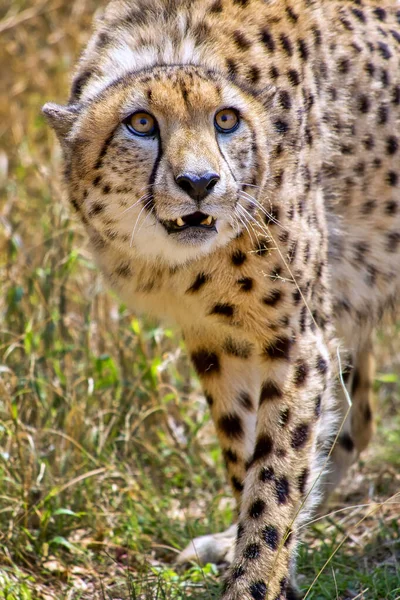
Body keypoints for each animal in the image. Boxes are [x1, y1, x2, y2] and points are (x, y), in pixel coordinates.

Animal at [43, 1, 400, 596]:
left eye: (225, 120)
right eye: (141, 123)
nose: (199, 182)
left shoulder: (297, 341)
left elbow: (277, 473)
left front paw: (255, 578)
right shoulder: (217, 339)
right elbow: (246, 454)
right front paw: (257, 555)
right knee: (358, 418)